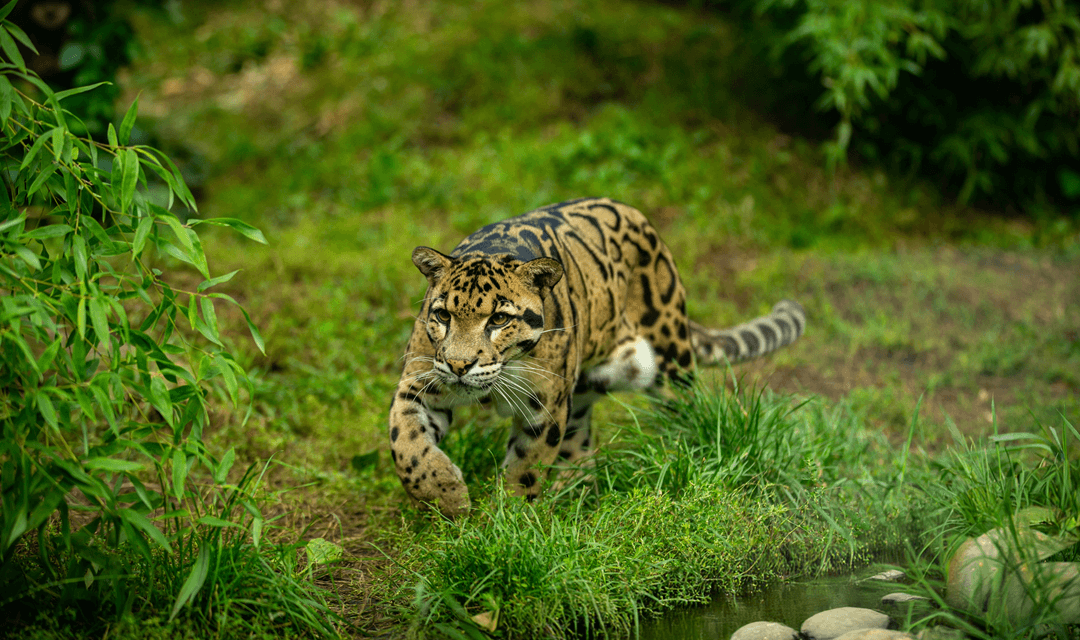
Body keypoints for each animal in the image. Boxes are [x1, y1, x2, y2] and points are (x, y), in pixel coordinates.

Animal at [388, 197, 803, 515]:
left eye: (499, 319)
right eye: (443, 315)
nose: (460, 365)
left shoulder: (545, 407)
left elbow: (525, 467)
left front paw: (508, 520)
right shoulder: (420, 382)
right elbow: (406, 444)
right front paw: (446, 497)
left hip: (669, 359)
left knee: (688, 412)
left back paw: (683, 460)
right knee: (579, 441)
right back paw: (572, 490)